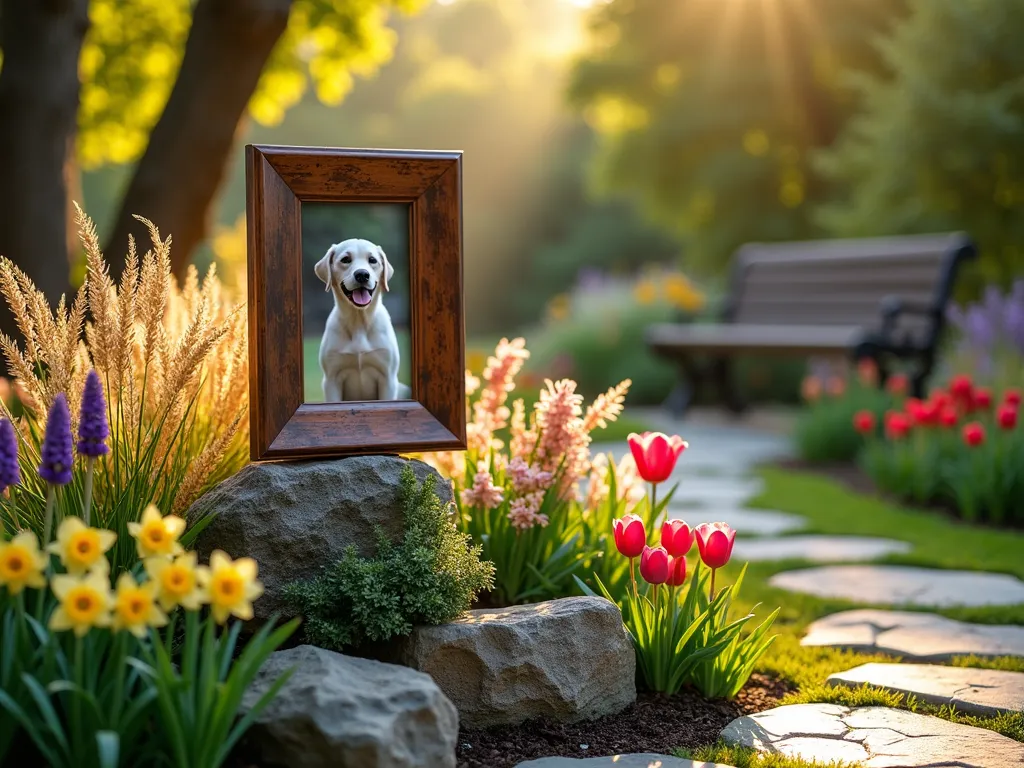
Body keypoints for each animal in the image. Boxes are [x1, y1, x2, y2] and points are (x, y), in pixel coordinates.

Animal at [313, 240, 405, 403]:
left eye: (372, 260)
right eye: (345, 259)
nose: (362, 274)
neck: (359, 322)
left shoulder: (388, 378)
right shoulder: (331, 379)